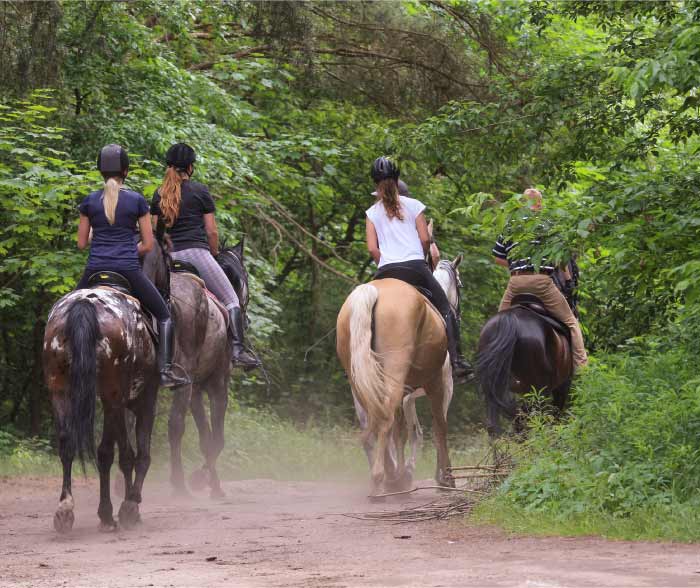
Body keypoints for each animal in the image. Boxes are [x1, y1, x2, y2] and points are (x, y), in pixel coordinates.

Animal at [43, 284, 159, 532]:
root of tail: (84, 303)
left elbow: (107, 452)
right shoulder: (144, 398)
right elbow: (136, 454)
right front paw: (127, 506)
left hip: (60, 390)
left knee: (66, 443)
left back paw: (65, 510)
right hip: (113, 394)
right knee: (124, 453)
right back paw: (124, 509)